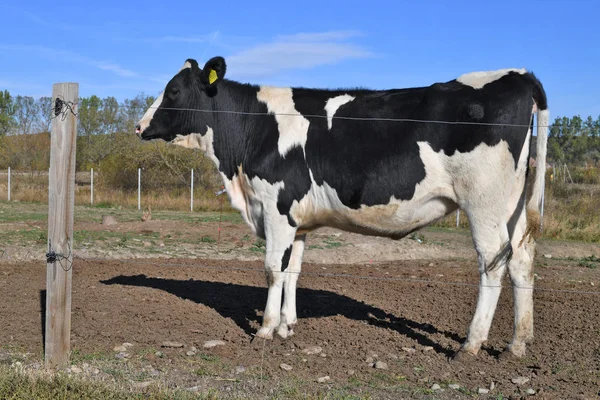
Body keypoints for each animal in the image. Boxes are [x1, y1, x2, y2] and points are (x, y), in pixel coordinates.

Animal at [136, 56, 548, 360]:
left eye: (173, 90)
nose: (139, 127)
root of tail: (519, 74)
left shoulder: (275, 208)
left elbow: (272, 270)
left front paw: (266, 330)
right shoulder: (297, 221)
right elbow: (293, 271)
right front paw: (287, 326)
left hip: (483, 202)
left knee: (492, 262)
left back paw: (471, 345)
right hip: (512, 204)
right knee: (522, 259)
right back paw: (517, 344)